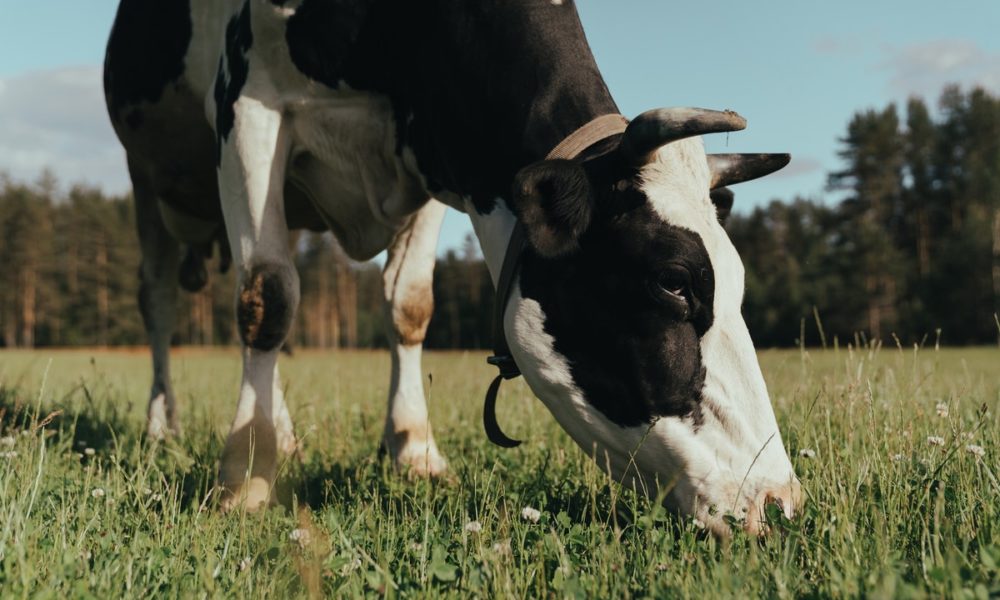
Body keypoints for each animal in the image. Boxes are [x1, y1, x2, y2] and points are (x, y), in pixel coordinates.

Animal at [104, 0, 800, 536]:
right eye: (673, 282)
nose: (777, 500)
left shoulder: (436, 155)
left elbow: (409, 306)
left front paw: (415, 451)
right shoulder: (248, 105)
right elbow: (266, 296)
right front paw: (246, 476)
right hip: (145, 178)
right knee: (163, 302)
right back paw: (163, 427)